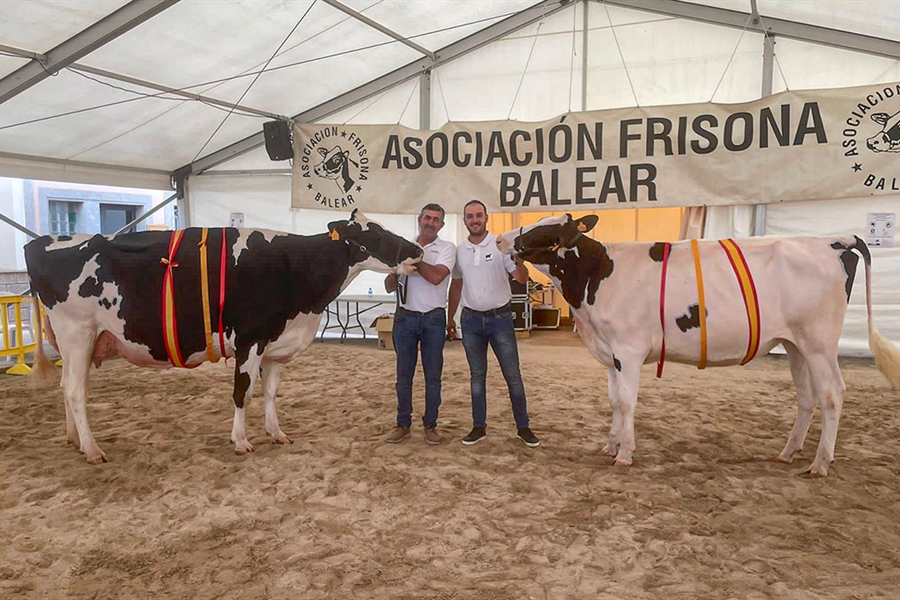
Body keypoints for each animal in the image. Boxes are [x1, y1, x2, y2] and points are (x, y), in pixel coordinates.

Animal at [26, 211, 422, 464]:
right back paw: (92, 450)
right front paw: (241, 440)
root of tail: (40, 244)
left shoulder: (274, 343)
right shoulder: (250, 338)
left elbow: (270, 392)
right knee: (75, 390)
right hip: (77, 332)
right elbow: (242, 391)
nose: (417, 251)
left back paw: (75, 440)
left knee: (68, 386)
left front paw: (276, 433)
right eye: (372, 233)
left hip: (85, 340)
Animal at [496, 213, 900, 476]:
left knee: (833, 393)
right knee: (807, 396)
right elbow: (613, 402)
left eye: (544, 229)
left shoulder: (627, 350)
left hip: (819, 342)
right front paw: (610, 446)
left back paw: (820, 463)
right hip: (795, 344)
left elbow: (626, 403)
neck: (597, 275)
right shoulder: (611, 353)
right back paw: (788, 453)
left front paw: (624, 454)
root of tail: (836, 240)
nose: (500, 239)